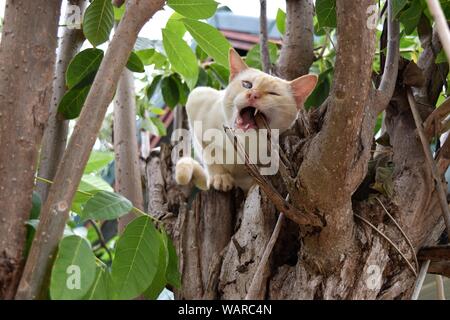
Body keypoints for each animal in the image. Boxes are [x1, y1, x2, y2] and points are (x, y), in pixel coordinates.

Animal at [174, 48, 318, 192]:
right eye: (247, 84)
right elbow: (209, 154)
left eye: (273, 93)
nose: (253, 94)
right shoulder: (196, 98)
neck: (244, 141)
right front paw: (221, 176)